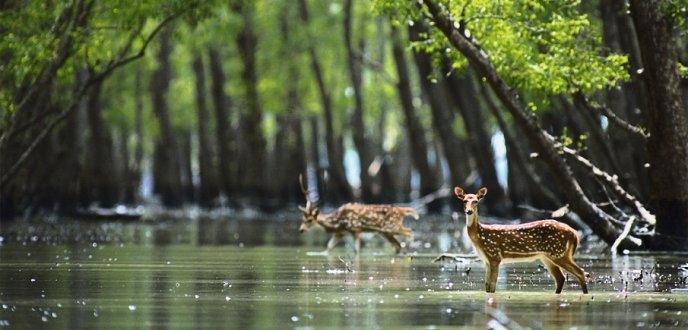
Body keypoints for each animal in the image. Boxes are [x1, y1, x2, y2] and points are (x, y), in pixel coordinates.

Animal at [456, 187, 584, 292]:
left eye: (476, 201)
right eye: (464, 201)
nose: (469, 211)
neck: (480, 237)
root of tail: (574, 233)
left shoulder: (494, 256)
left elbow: (492, 287)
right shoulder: (486, 260)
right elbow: (487, 286)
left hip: (558, 252)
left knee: (580, 272)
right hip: (548, 256)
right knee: (561, 278)